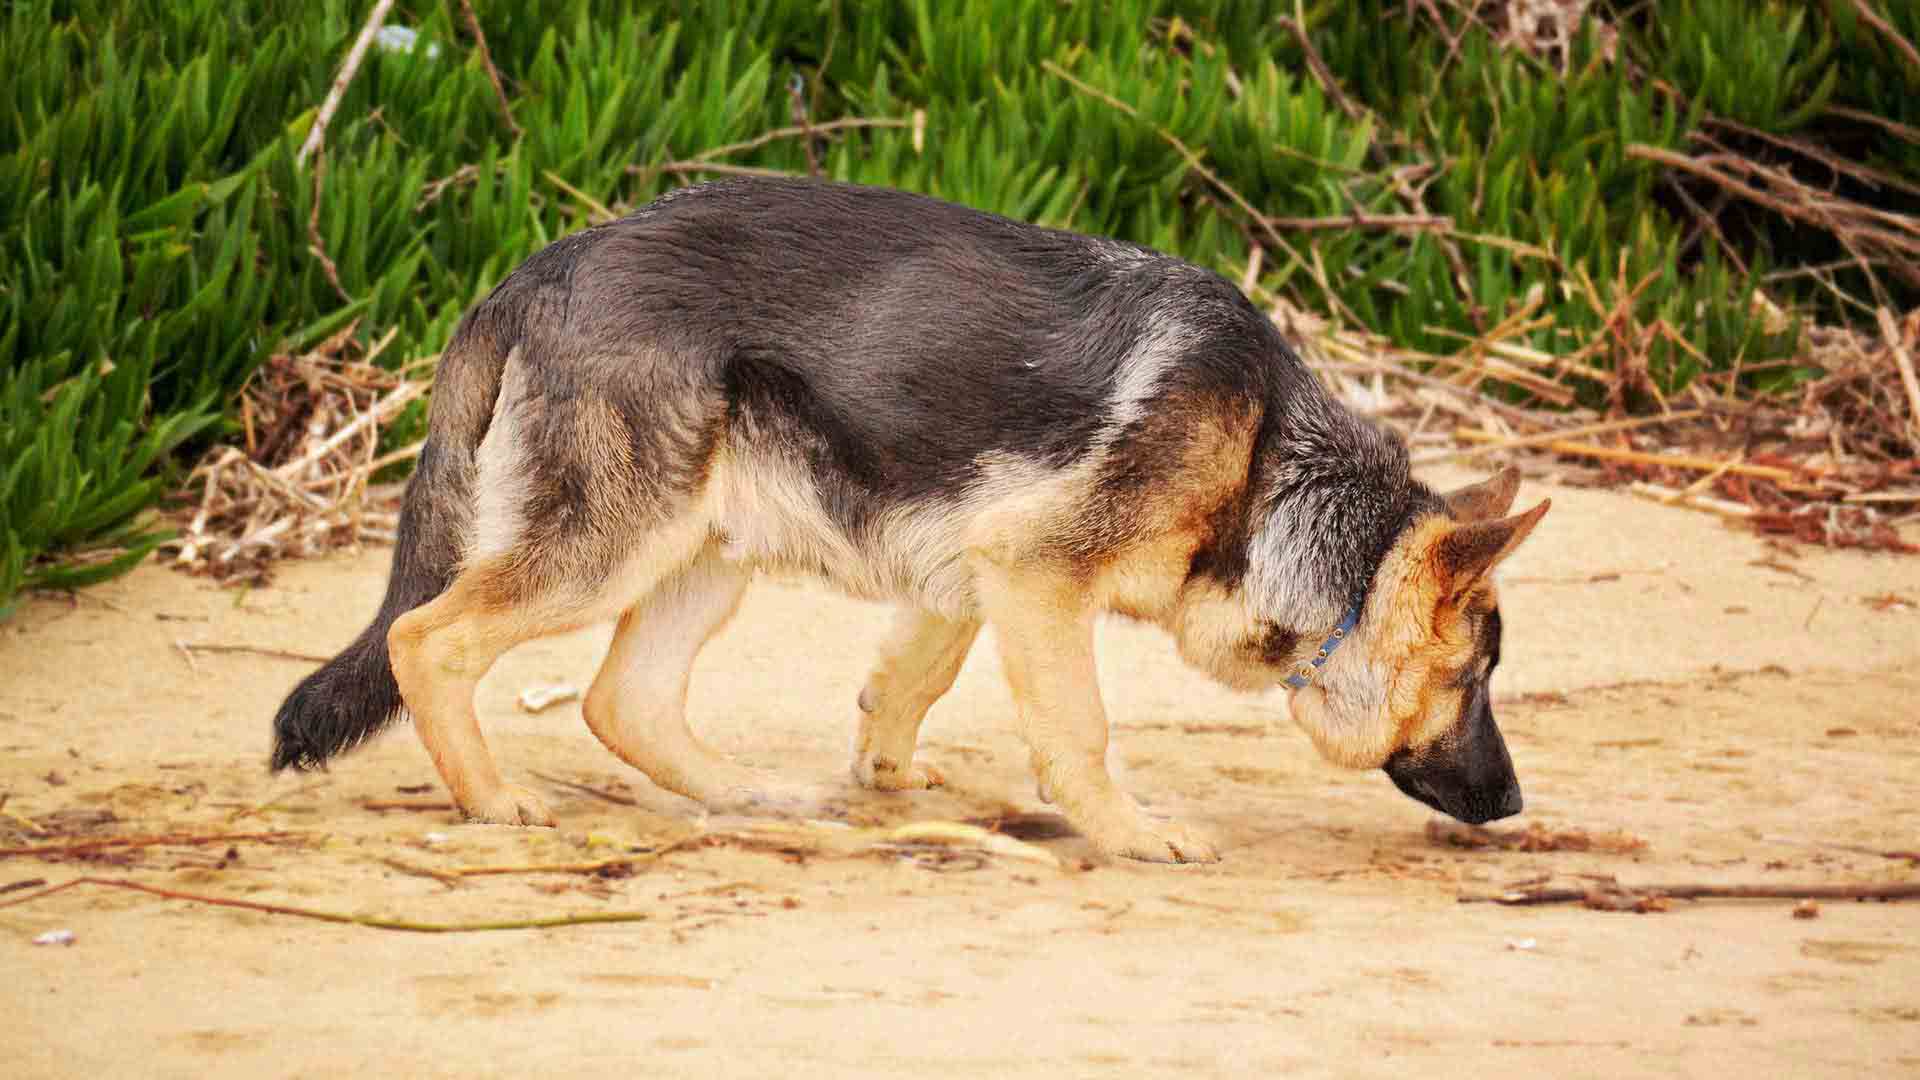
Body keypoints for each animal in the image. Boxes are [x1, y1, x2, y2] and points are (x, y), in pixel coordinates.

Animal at [270, 180, 1551, 860]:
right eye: (1473, 682)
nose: (1515, 803)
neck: (1273, 470)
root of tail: (533, 271)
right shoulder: (1037, 574)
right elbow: (1080, 729)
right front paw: (1127, 830)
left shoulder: (975, 569)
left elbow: (911, 683)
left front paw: (886, 779)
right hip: (606, 551)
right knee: (424, 639)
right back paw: (494, 803)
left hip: (703, 553)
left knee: (620, 700)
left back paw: (748, 795)